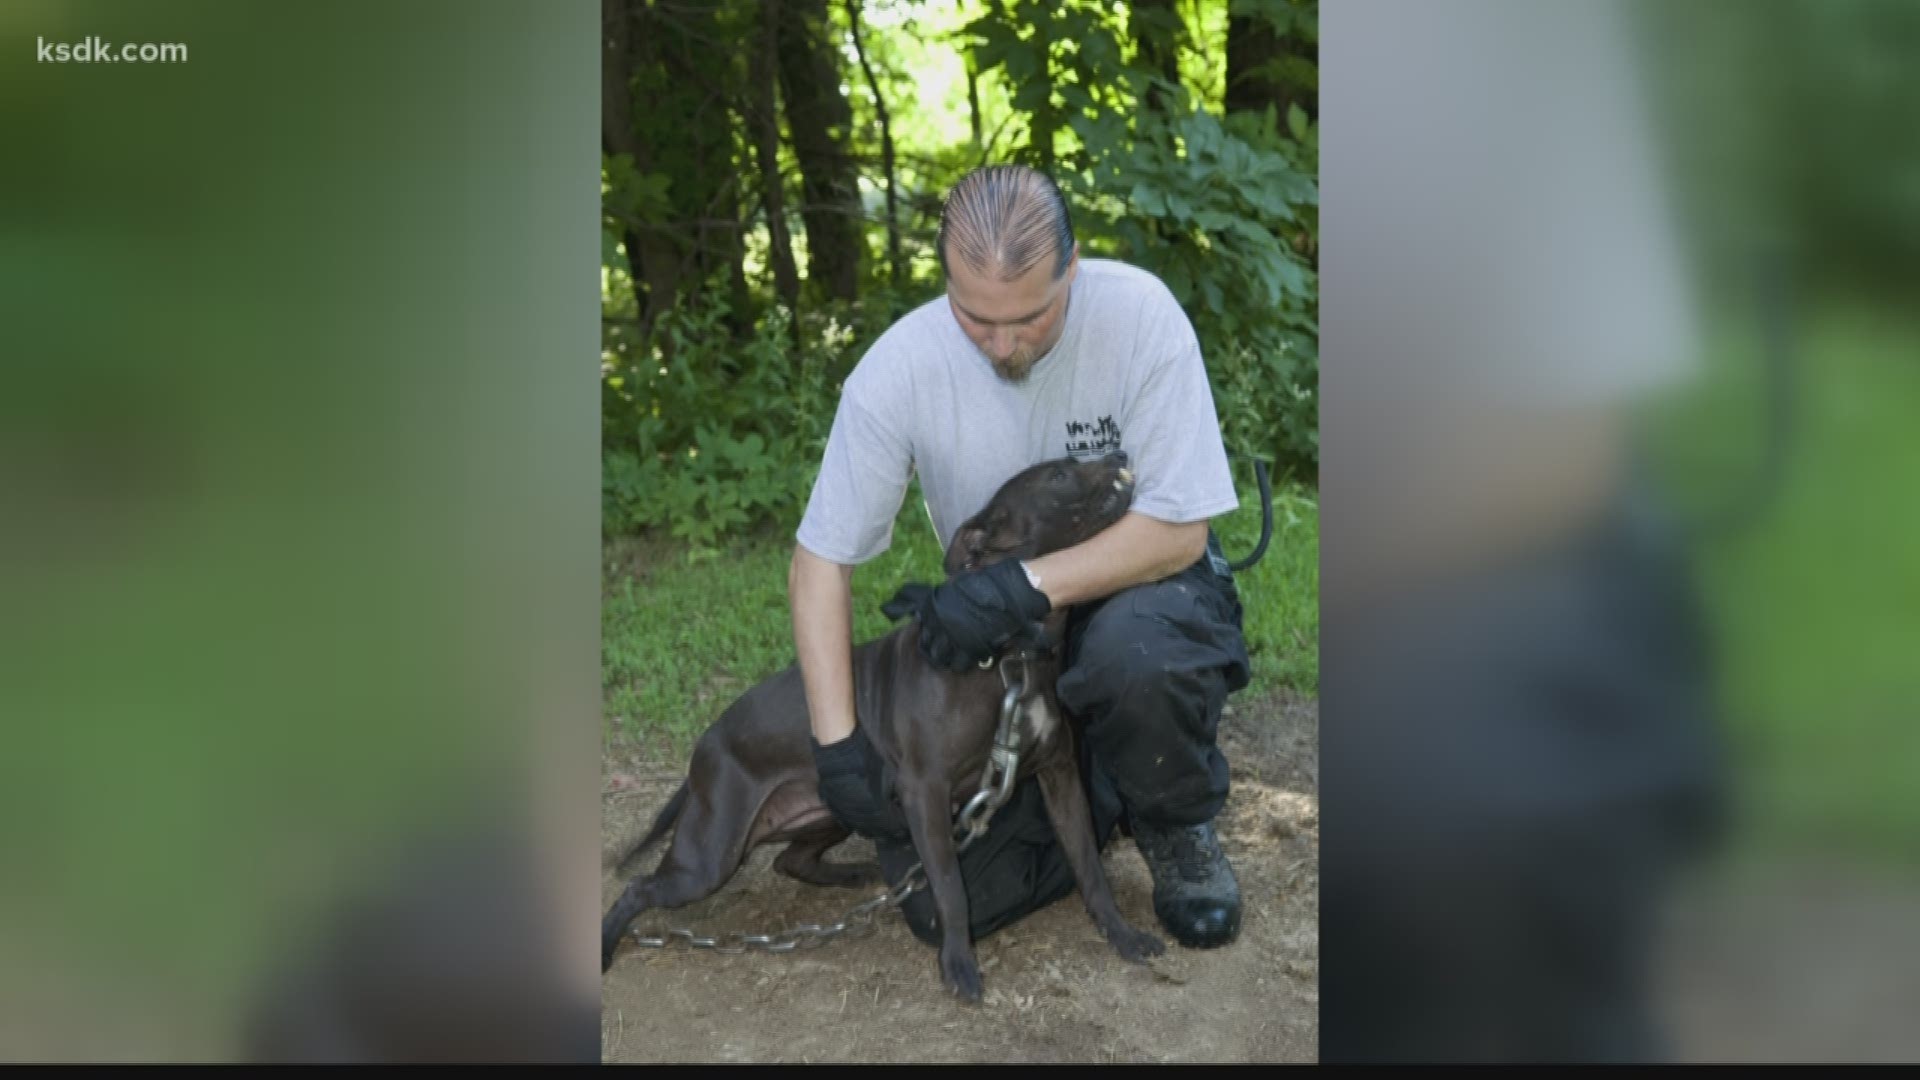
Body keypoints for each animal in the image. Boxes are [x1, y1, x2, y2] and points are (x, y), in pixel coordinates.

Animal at [606, 449, 1159, 999]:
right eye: (1059, 474)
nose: (1119, 453)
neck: (1012, 659)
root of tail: (704, 748)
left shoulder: (1060, 774)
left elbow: (1089, 865)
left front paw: (1122, 935)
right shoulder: (926, 792)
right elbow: (950, 888)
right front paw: (959, 964)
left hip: (829, 812)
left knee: (790, 861)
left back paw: (856, 873)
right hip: (712, 856)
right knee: (639, 886)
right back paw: (608, 942)